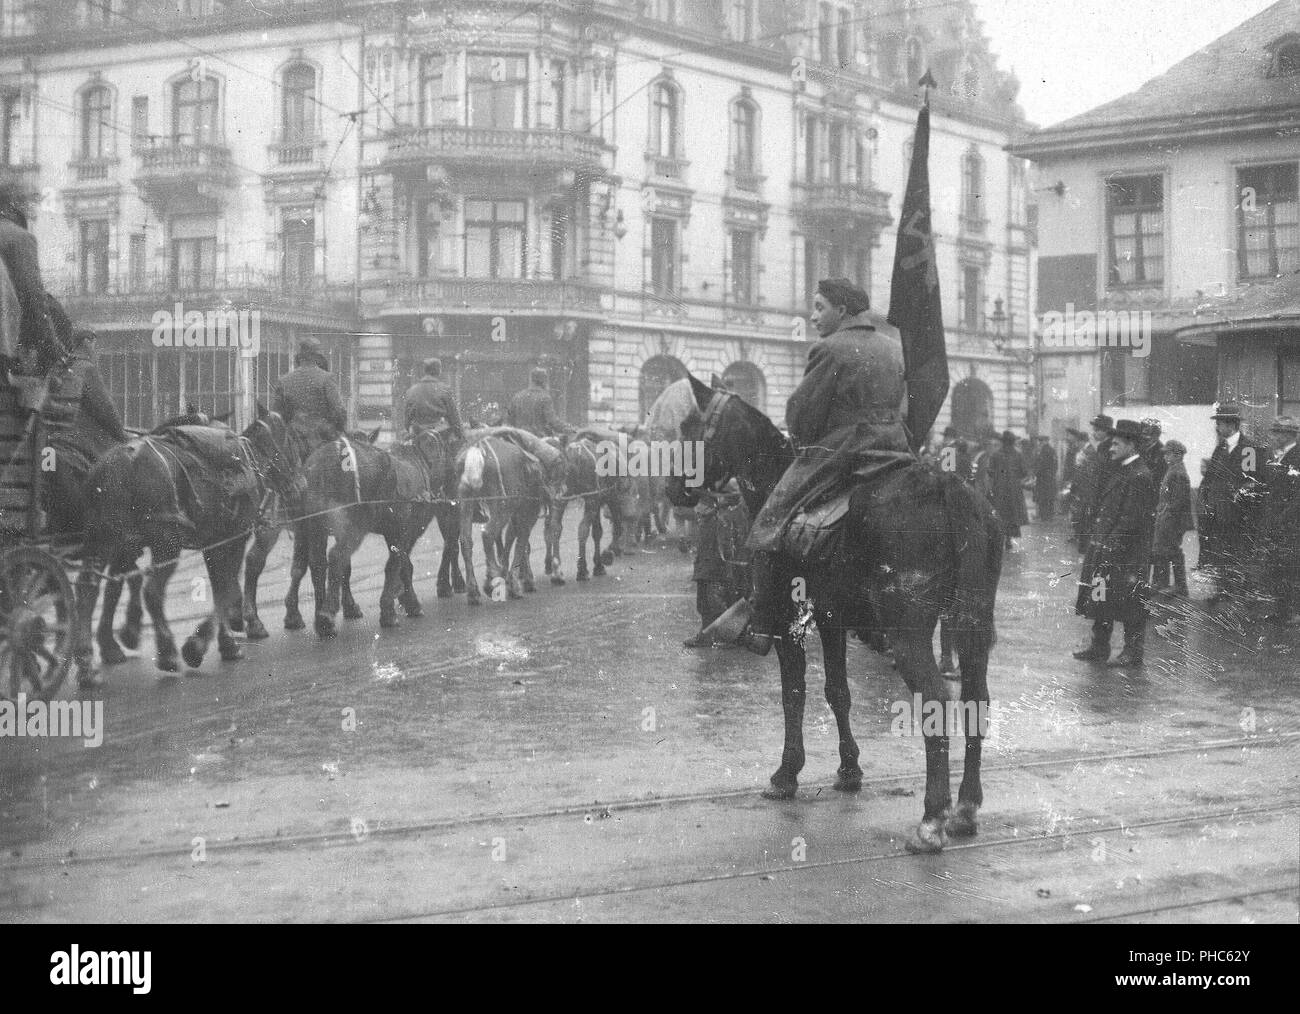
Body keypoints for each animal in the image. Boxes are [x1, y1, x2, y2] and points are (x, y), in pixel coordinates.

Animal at [75, 403, 301, 670]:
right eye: (292, 441)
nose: (300, 485)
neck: (247, 460)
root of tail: (119, 464)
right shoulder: (235, 537)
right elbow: (228, 589)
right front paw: (204, 645)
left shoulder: (212, 542)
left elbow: (220, 587)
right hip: (165, 544)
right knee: (151, 591)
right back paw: (166, 651)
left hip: (102, 539)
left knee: (89, 587)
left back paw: (92, 653)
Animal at [301, 426, 460, 634]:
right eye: (445, 449)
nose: (455, 476)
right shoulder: (405, 530)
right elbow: (397, 565)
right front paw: (395, 609)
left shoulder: (396, 532)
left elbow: (402, 564)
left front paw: (403, 599)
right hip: (353, 527)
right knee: (337, 557)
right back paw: (327, 615)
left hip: (315, 527)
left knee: (318, 564)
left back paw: (320, 617)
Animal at [665, 377, 998, 852]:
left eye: (692, 426)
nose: (674, 489)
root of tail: (947, 486)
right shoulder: (831, 617)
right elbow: (838, 691)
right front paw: (849, 770)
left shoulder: (787, 621)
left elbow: (794, 694)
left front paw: (786, 774)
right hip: (974, 625)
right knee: (975, 699)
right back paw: (966, 809)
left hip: (909, 633)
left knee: (936, 697)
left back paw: (933, 819)